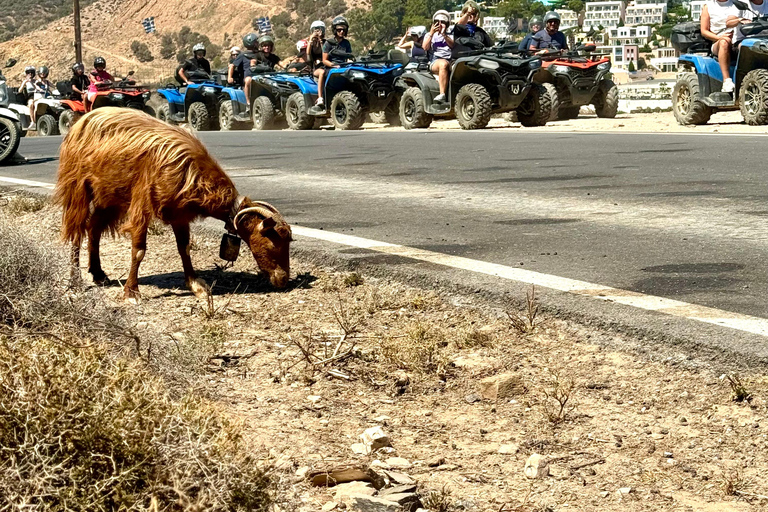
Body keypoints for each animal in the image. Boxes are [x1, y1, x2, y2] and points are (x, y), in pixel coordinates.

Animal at [54, 108, 292, 300]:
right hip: (78, 187)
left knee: (93, 227)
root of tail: (80, 122)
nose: (283, 279)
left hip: (109, 196)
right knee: (77, 231)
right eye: (272, 242)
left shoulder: (179, 212)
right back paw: (75, 281)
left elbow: (184, 248)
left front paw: (196, 285)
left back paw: (98, 273)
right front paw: (131, 293)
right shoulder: (142, 202)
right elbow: (139, 250)